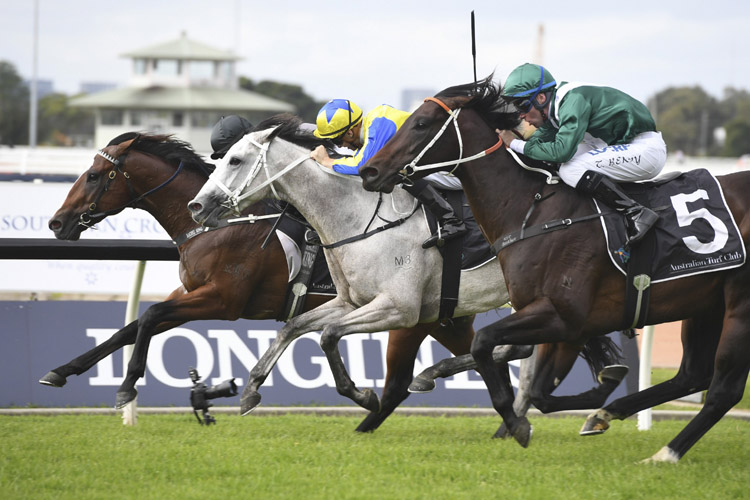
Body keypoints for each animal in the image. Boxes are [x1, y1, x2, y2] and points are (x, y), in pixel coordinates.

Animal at [45, 133, 482, 434]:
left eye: (94, 176)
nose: (57, 223)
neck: (216, 226)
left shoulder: (222, 300)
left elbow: (150, 315)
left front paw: (126, 386)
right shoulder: (191, 293)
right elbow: (132, 327)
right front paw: (63, 370)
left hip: (413, 319)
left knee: (407, 380)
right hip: (444, 320)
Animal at [362, 76, 750, 462]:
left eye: (421, 123)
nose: (370, 170)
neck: (532, 213)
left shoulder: (562, 315)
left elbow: (487, 346)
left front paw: (519, 424)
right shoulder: (563, 324)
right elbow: (538, 392)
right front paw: (591, 406)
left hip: (738, 306)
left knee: (723, 391)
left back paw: (665, 453)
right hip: (705, 305)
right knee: (693, 376)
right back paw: (620, 419)